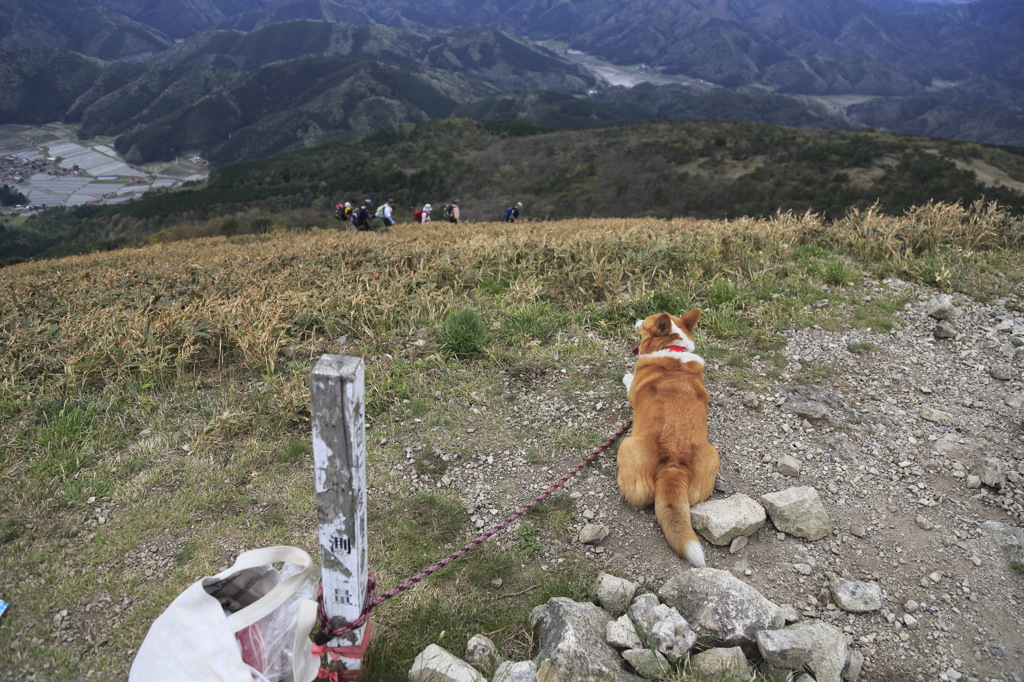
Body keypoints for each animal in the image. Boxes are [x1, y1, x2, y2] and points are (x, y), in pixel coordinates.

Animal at [614, 307, 720, 561]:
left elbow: (629, 383)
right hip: (713, 455)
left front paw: (626, 377)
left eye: (645, 323)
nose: (635, 320)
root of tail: (673, 464)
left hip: (626, 445)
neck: (673, 349)